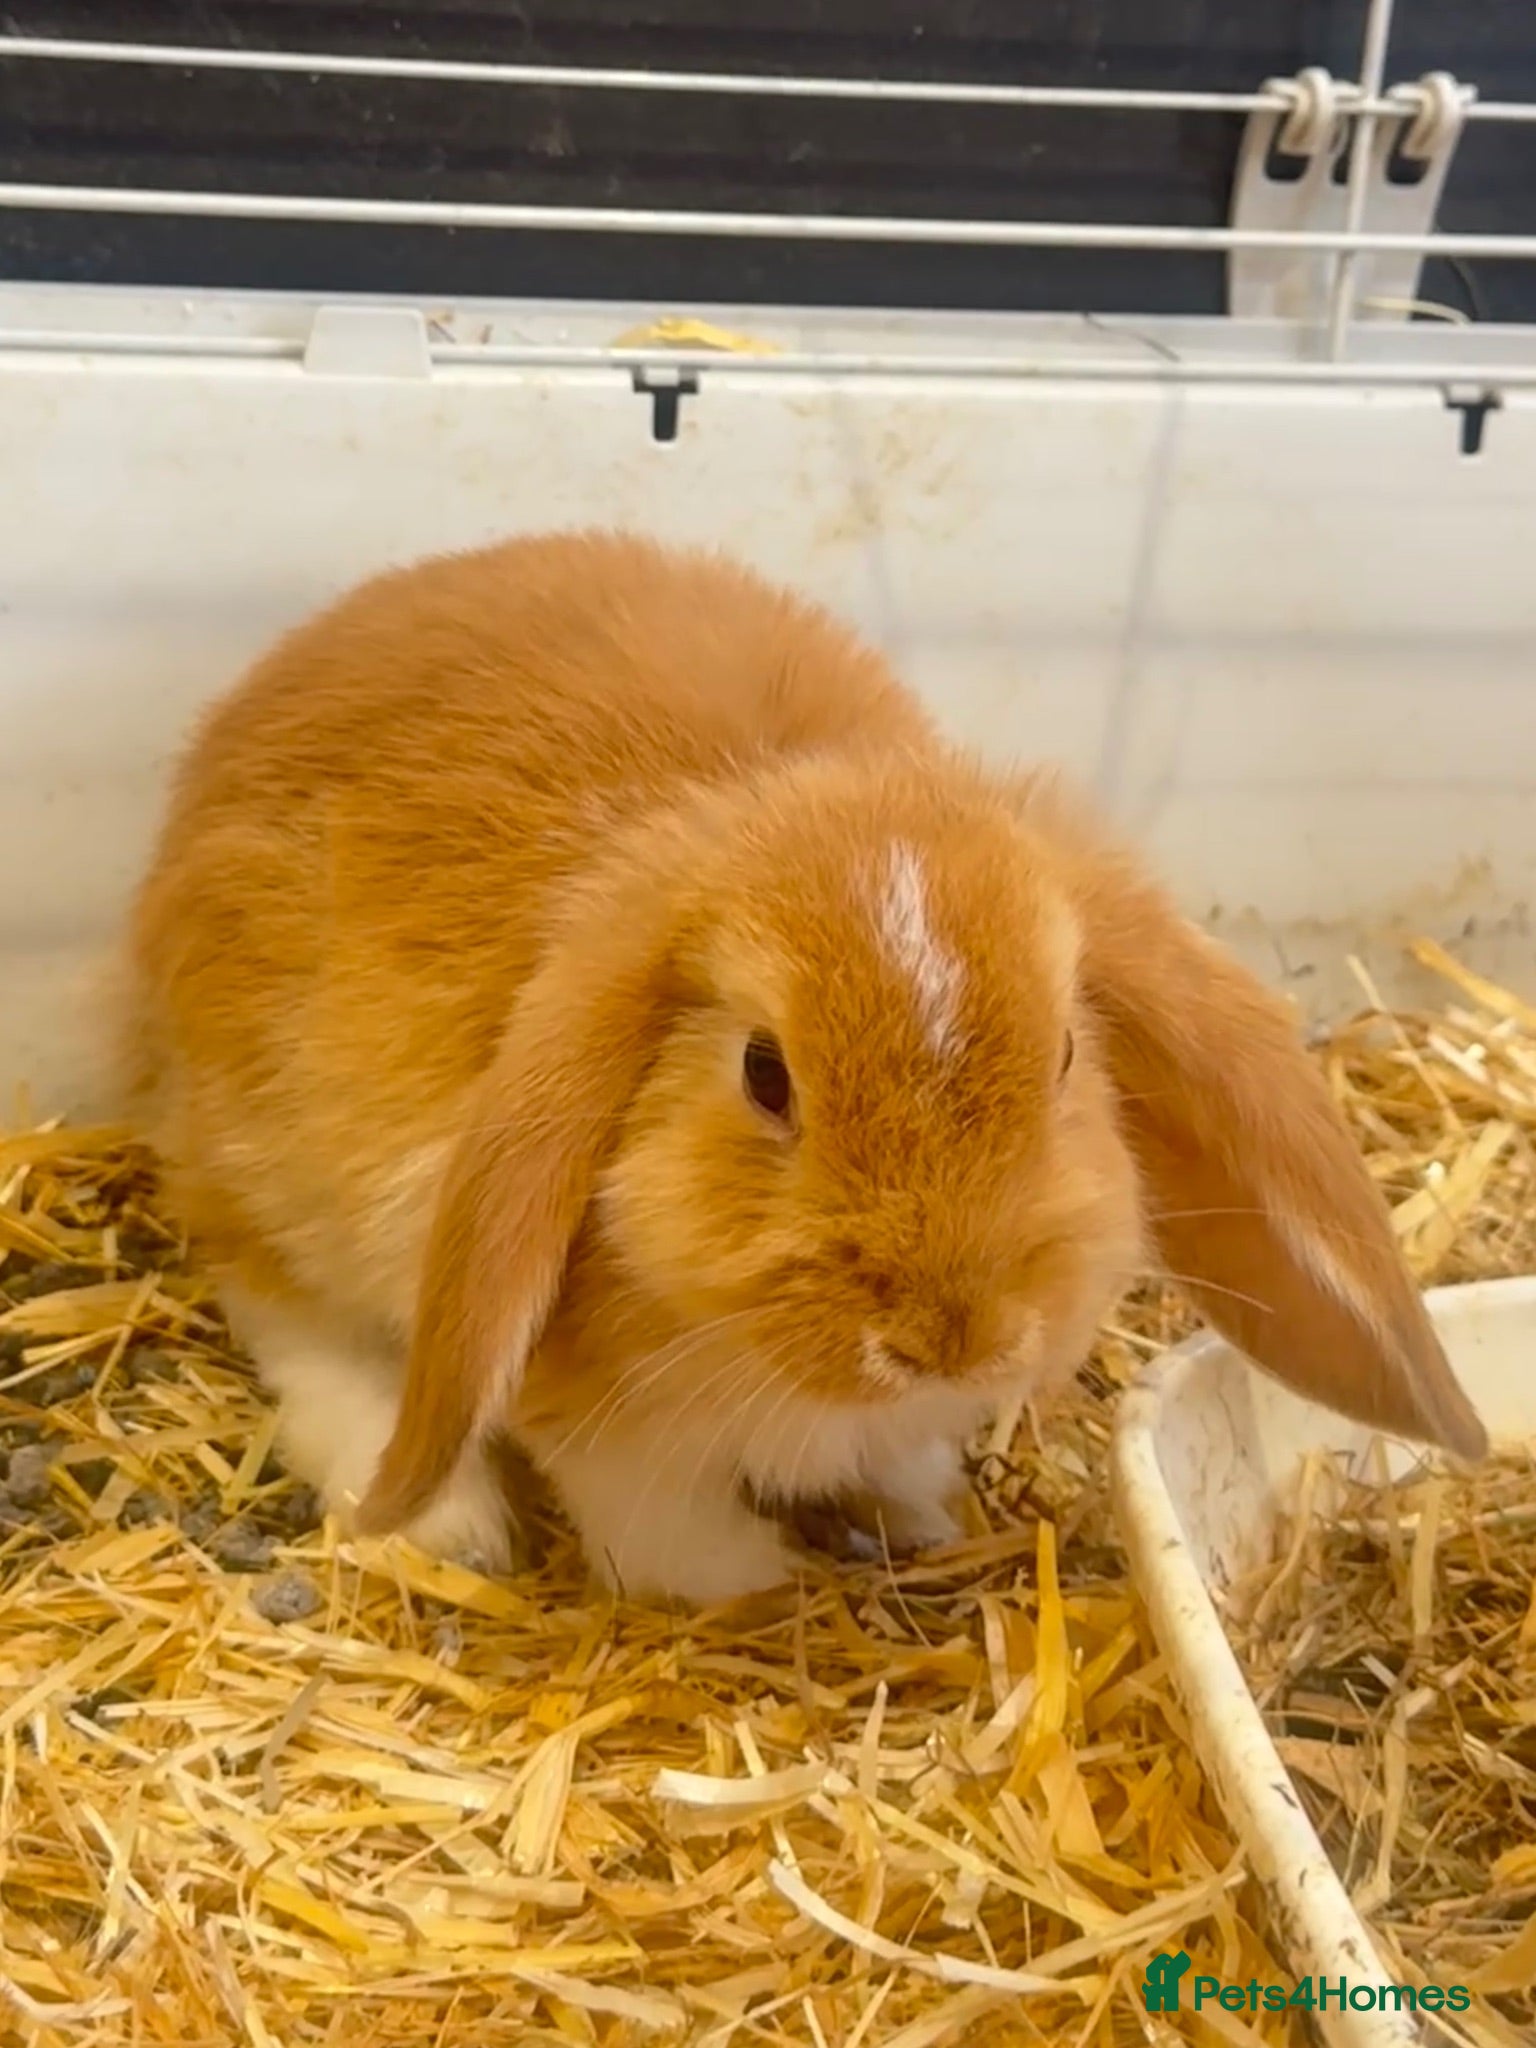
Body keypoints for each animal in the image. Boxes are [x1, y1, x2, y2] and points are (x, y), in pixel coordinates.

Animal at [121, 528, 1488, 1605]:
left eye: (1065, 1053)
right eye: (764, 1072)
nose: (951, 1336)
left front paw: (921, 1516)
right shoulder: (609, 1428)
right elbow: (660, 1531)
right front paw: (757, 1577)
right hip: (275, 1179)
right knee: (290, 1314)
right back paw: (444, 1518)